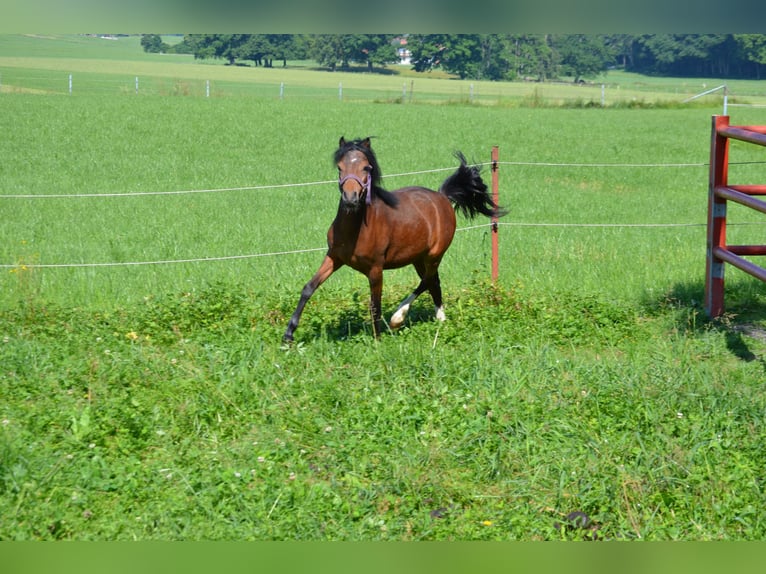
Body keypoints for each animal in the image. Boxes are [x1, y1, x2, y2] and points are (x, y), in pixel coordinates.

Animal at [283, 136, 506, 342]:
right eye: (340, 167)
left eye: (366, 167)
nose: (350, 198)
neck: (356, 229)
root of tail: (442, 197)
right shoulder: (334, 257)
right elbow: (308, 288)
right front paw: (288, 335)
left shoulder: (375, 269)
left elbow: (375, 305)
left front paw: (377, 341)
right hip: (418, 258)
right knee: (433, 282)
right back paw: (440, 319)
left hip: (435, 254)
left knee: (427, 280)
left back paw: (398, 318)